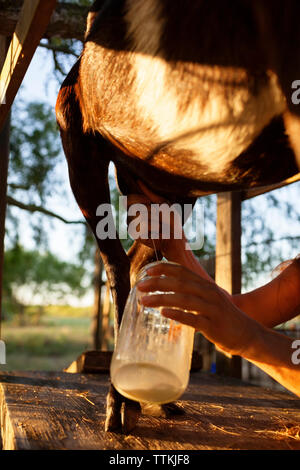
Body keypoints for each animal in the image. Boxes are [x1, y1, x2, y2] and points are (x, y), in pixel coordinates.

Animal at [55, 0, 300, 434]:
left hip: (173, 190)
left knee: (138, 259)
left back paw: (153, 400)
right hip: (77, 142)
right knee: (116, 264)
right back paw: (118, 406)